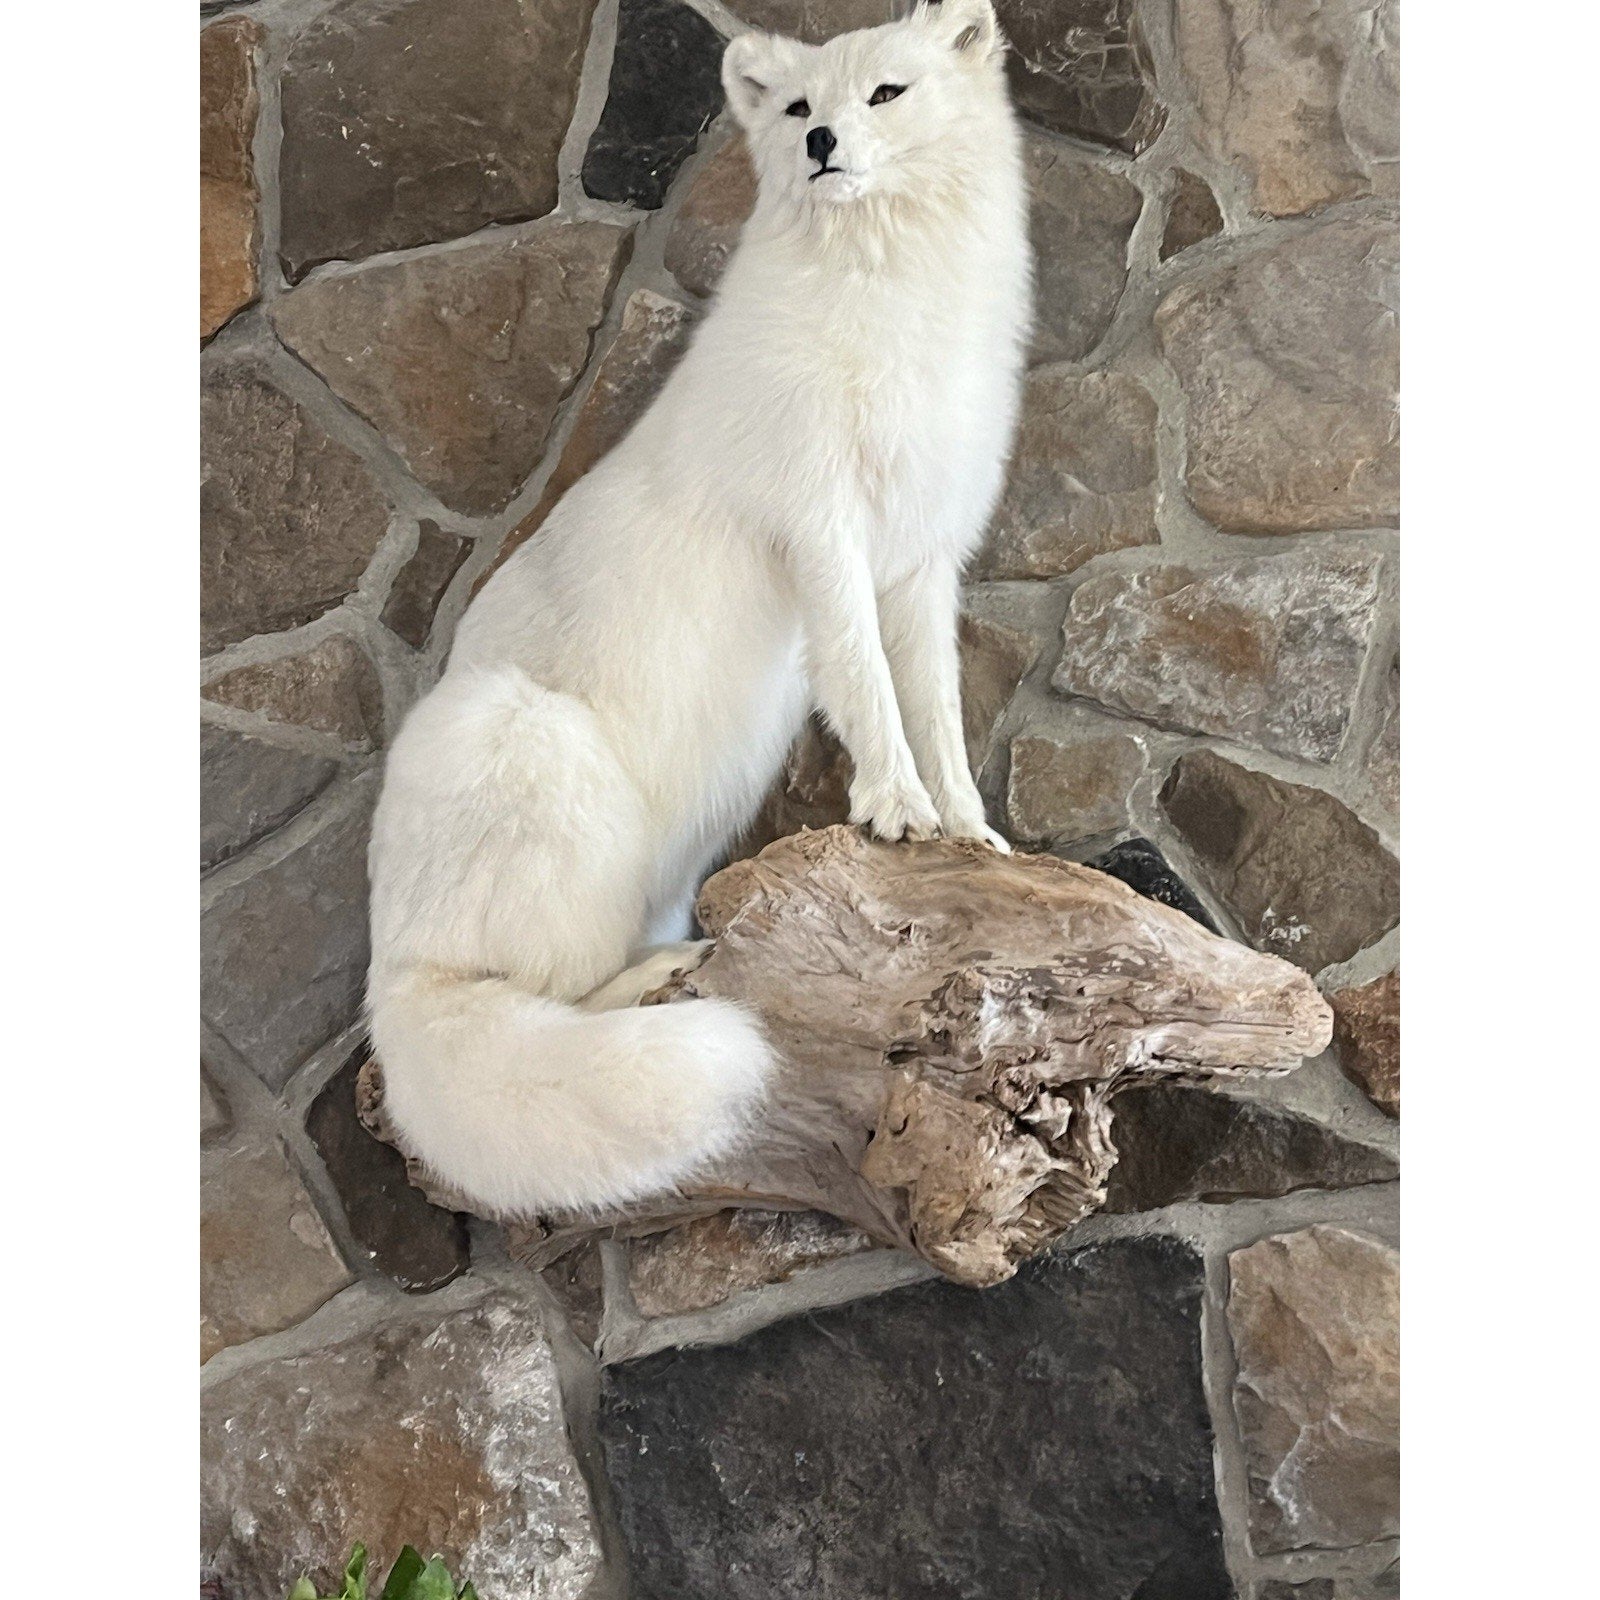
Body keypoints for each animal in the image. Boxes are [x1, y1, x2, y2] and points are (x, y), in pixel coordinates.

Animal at [366, 0, 1033, 1218]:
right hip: (521, 743)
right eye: (800, 106)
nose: (819, 144)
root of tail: (395, 991)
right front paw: (894, 809)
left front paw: (967, 826)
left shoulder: (923, 560)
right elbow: (866, 684)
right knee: (559, 993)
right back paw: (656, 981)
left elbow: (936, 705)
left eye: (885, 93)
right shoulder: (823, 531)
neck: (890, 296)